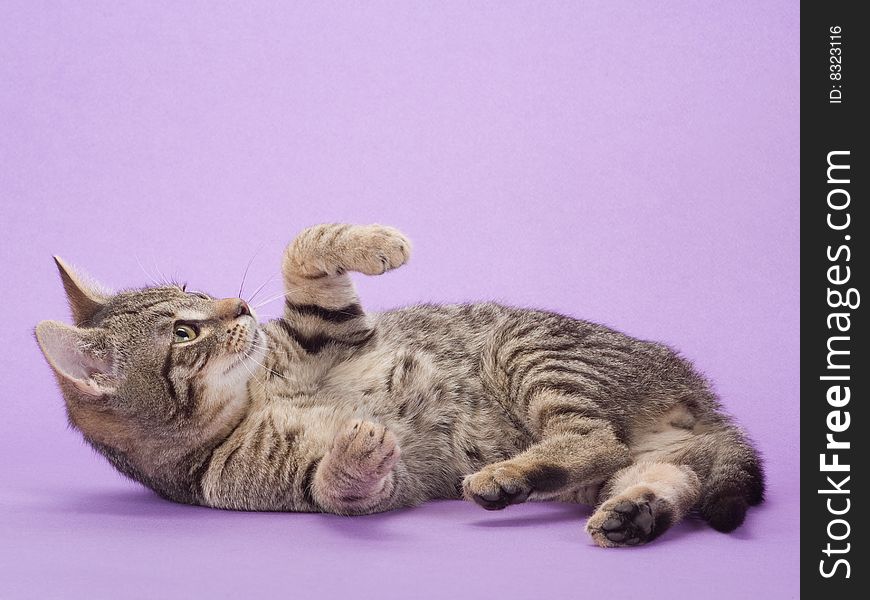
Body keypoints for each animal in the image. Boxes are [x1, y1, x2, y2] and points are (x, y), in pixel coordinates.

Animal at [37, 223, 768, 548]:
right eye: (185, 333)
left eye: (194, 290)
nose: (237, 306)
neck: (249, 400)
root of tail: (705, 399)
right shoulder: (311, 488)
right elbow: (341, 489)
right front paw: (356, 452)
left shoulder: (329, 331)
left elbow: (303, 248)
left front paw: (376, 242)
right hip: (581, 408)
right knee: (619, 455)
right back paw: (602, 505)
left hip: (528, 349)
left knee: (608, 444)